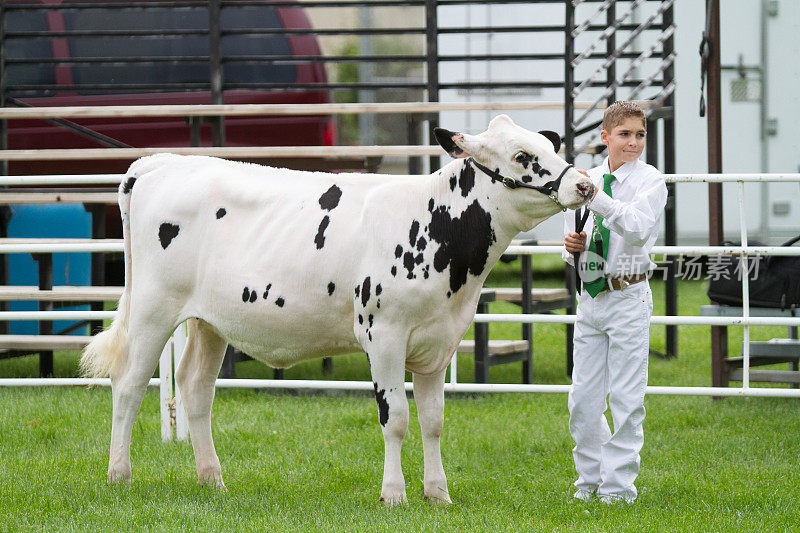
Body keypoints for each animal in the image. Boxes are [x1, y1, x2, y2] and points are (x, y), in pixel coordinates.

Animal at [81, 114, 592, 504]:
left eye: (549, 145)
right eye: (523, 156)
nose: (585, 185)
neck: (433, 223)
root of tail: (161, 162)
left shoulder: (438, 343)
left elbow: (433, 422)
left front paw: (438, 494)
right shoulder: (383, 336)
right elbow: (396, 419)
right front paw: (394, 495)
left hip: (211, 322)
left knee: (194, 387)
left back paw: (213, 480)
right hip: (153, 309)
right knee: (128, 384)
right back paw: (118, 476)